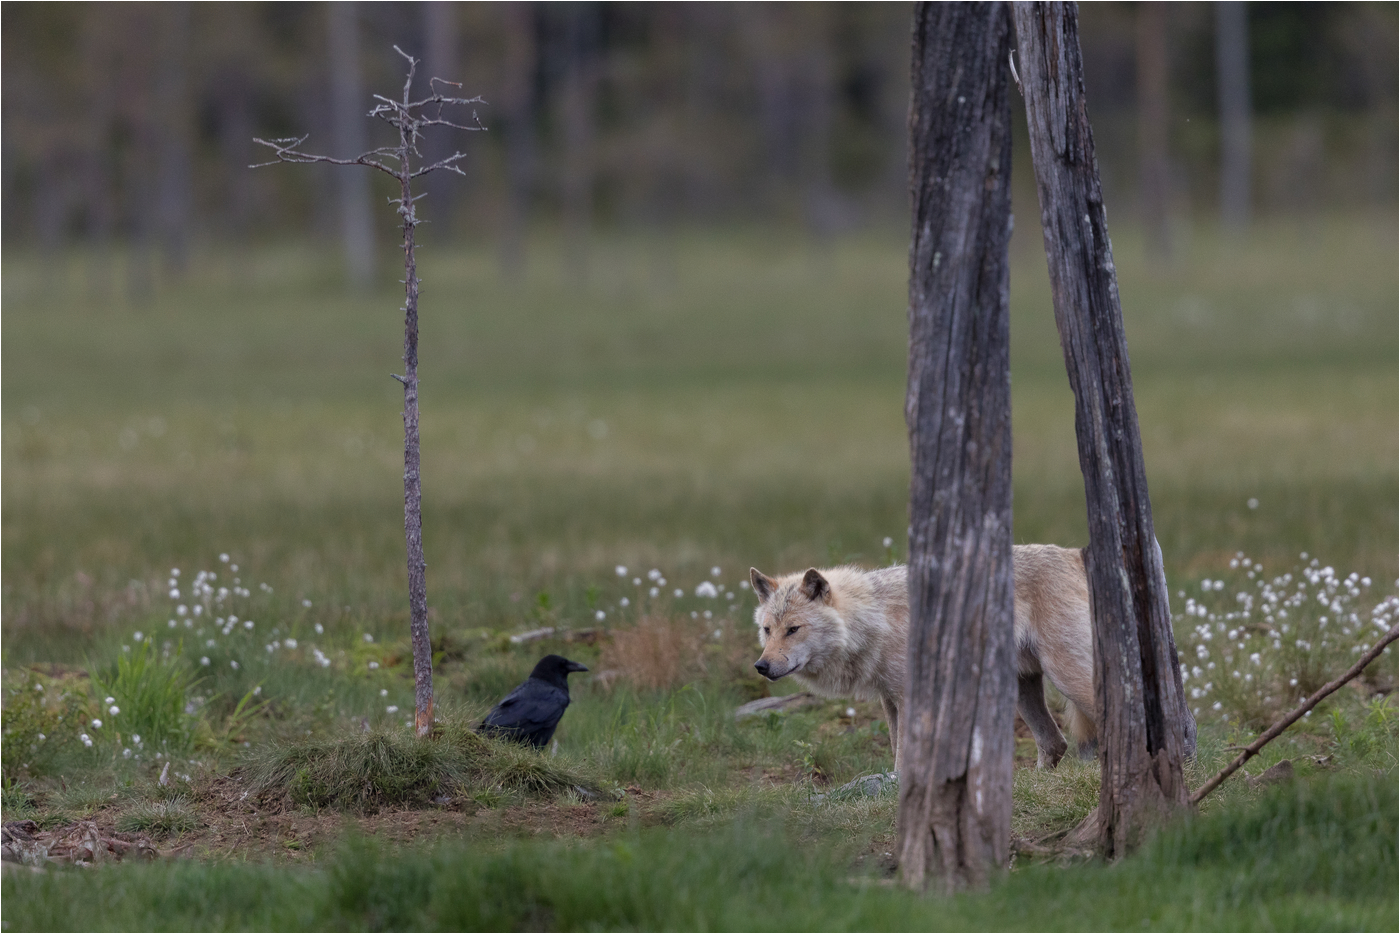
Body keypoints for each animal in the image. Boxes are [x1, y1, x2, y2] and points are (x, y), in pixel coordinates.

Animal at [750, 543, 1097, 772]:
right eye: (767, 630)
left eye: (793, 629)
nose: (761, 667)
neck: (875, 619)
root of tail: (1073, 553)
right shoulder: (889, 700)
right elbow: (895, 748)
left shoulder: (910, 699)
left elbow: (904, 758)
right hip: (1023, 689)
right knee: (1055, 743)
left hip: (1066, 677)